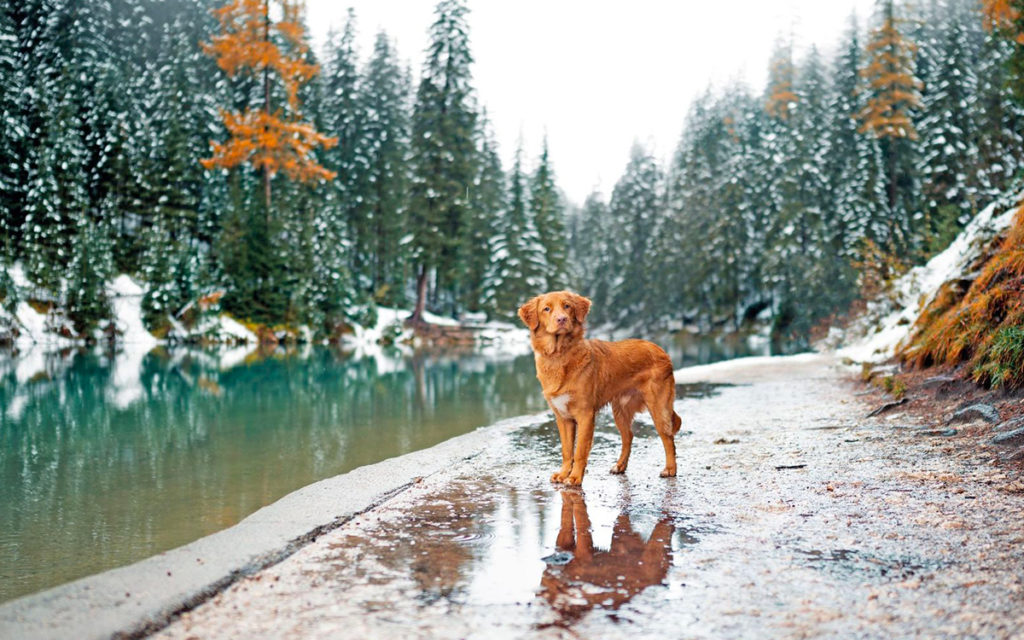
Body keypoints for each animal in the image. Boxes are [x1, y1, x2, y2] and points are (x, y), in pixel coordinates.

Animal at [520, 290, 679, 483]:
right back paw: (620, 466)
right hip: (620, 410)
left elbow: (580, 451)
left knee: (668, 437)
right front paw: (564, 473)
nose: (562, 319)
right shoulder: (563, 417)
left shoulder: (585, 415)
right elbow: (567, 450)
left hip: (658, 406)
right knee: (628, 436)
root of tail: (661, 350)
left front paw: (574, 478)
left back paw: (670, 469)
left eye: (567, 306)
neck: (559, 356)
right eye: (547, 309)